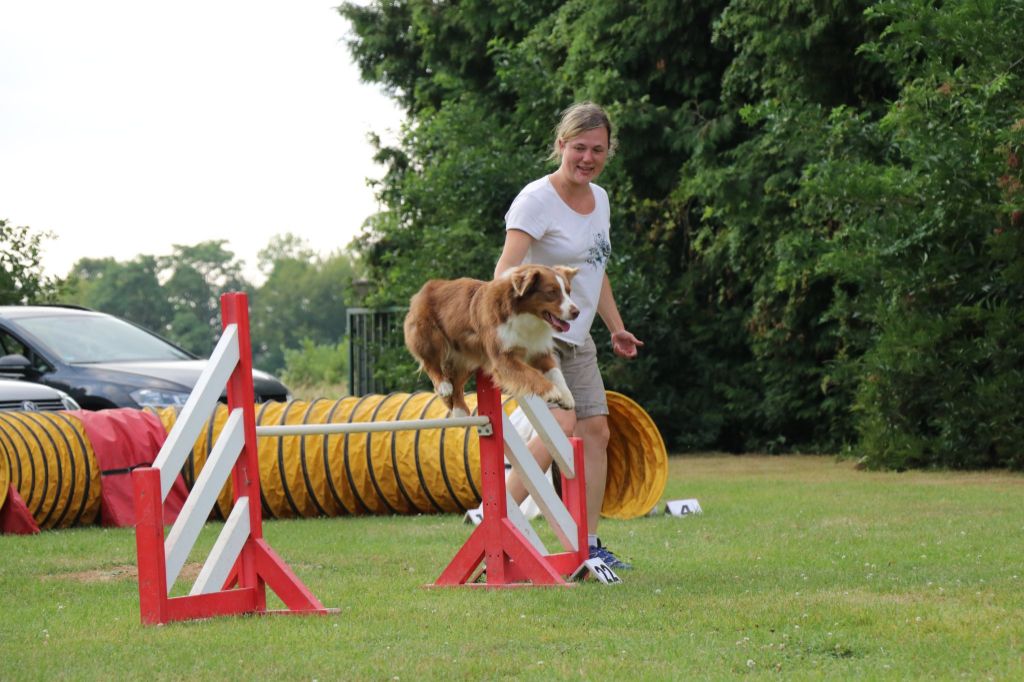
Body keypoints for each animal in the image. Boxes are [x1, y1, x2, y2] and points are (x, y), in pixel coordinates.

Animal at [403, 264, 581, 413]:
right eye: (551, 292)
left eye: (568, 291)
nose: (576, 312)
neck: (526, 317)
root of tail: (422, 290)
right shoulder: (503, 357)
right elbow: (531, 374)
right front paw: (552, 392)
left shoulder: (539, 350)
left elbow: (556, 372)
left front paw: (567, 397)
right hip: (430, 337)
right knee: (431, 364)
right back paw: (444, 386)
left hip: (469, 356)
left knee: (457, 383)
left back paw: (460, 411)